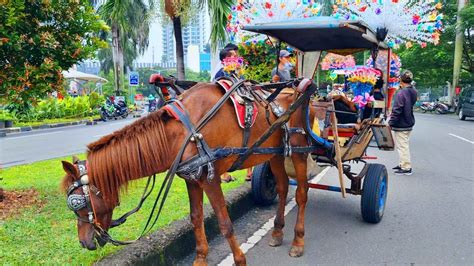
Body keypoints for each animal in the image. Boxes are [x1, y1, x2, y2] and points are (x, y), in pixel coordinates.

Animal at [61, 82, 316, 264]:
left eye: (79, 204)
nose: (84, 242)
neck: (183, 132)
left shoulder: (211, 179)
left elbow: (225, 223)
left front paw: (240, 259)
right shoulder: (192, 179)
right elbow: (195, 218)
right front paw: (200, 258)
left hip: (299, 151)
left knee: (302, 194)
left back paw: (298, 241)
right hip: (275, 154)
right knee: (283, 187)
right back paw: (277, 232)